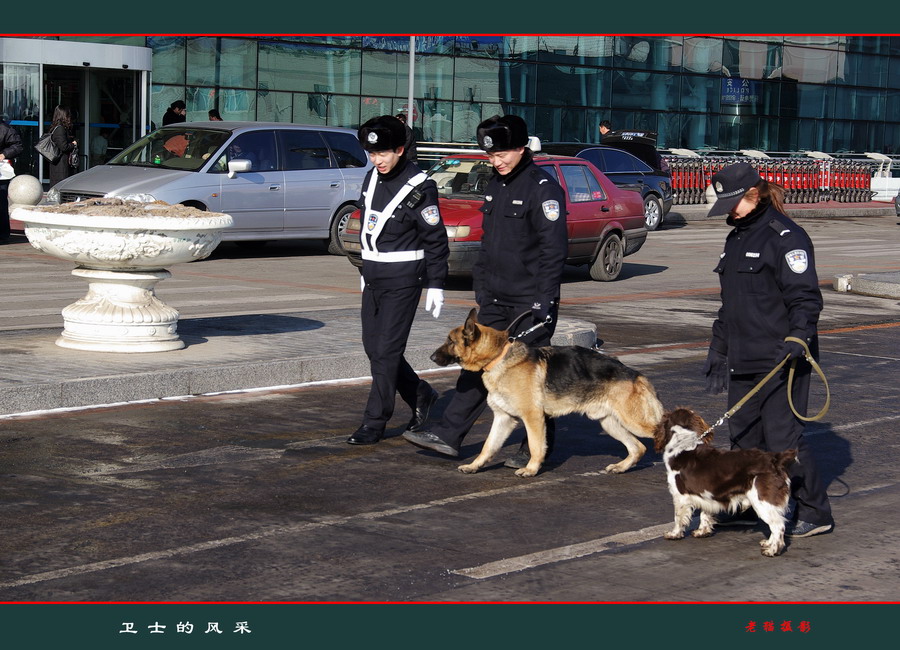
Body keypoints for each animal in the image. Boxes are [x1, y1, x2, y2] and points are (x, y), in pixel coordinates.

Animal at [428, 306, 660, 478]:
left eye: (450, 341)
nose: (431, 357)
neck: (498, 355)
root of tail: (635, 374)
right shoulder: (503, 418)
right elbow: (488, 446)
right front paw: (474, 466)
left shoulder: (533, 418)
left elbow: (535, 446)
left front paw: (531, 469)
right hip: (610, 423)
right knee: (638, 447)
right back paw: (621, 467)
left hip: (633, 422)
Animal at [652, 408, 796, 556]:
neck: (682, 444)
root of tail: (776, 459)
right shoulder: (706, 495)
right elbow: (705, 514)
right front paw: (702, 532)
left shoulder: (680, 496)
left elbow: (678, 518)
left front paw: (674, 534)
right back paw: (767, 543)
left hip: (762, 500)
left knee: (778, 526)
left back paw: (772, 550)